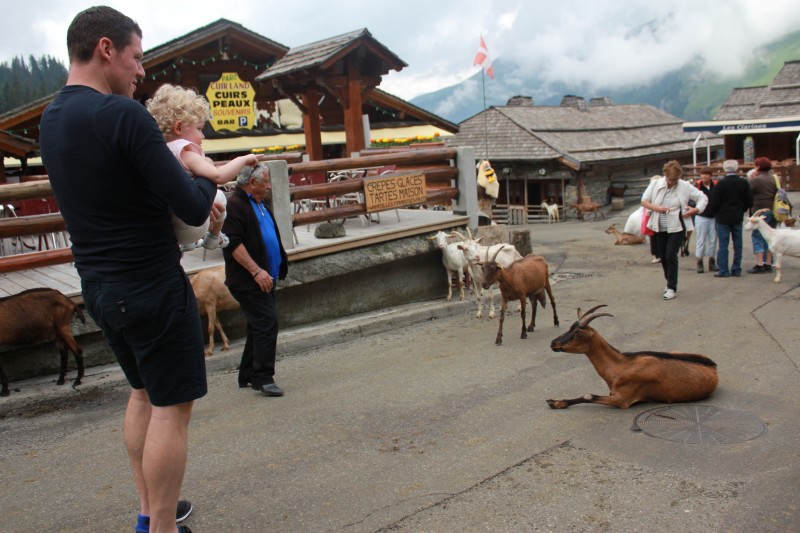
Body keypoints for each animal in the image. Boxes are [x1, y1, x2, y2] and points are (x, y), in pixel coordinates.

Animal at [552, 304, 720, 408]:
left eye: (577, 334)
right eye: (569, 329)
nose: (553, 343)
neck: (620, 365)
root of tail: (714, 366)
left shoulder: (622, 399)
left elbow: (589, 396)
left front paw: (556, 403)